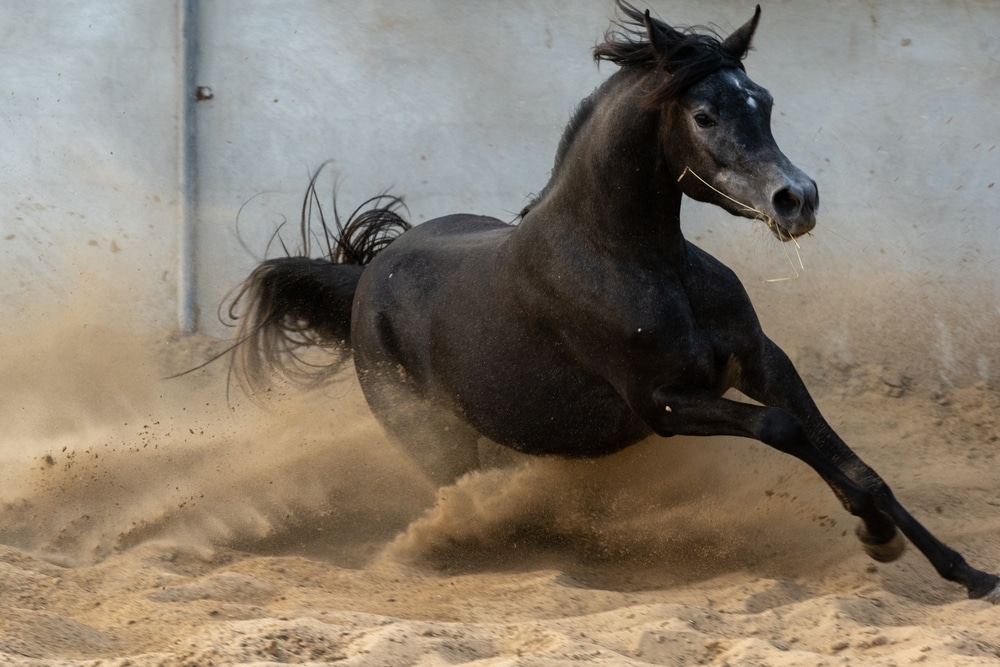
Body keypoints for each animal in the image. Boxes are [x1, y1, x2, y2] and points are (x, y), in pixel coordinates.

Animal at [227, 1, 1000, 604]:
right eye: (705, 114)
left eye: (765, 101)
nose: (797, 199)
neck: (641, 262)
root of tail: (367, 279)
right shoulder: (662, 403)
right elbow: (784, 429)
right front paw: (874, 532)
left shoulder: (763, 361)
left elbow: (849, 455)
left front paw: (962, 570)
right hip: (431, 435)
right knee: (460, 494)